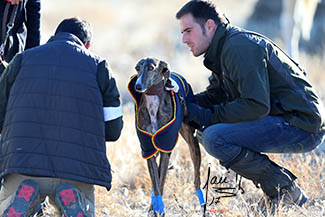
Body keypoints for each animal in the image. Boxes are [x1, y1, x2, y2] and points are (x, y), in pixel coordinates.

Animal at [128, 57, 204, 215]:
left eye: (151, 68)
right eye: (137, 68)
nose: (138, 86)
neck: (153, 105)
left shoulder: (165, 148)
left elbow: (161, 180)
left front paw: (159, 209)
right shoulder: (148, 149)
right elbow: (156, 181)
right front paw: (155, 208)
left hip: (192, 142)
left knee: (197, 178)